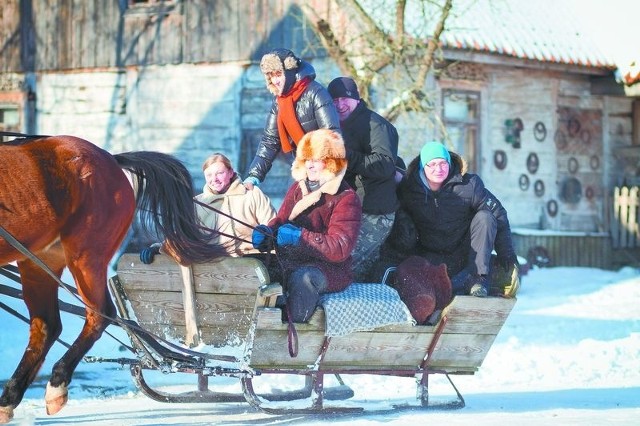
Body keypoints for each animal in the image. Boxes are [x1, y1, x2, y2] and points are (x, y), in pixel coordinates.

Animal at [0, 134, 226, 422]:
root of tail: (110, 158)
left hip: (86, 256)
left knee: (99, 314)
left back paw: (56, 384)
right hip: (39, 260)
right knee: (47, 327)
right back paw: (10, 399)